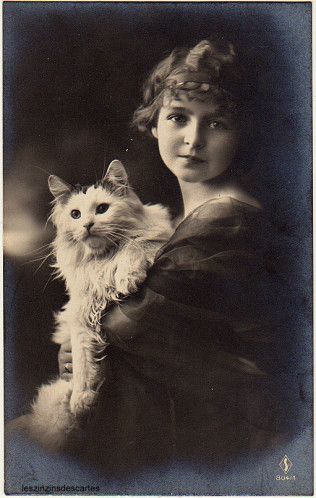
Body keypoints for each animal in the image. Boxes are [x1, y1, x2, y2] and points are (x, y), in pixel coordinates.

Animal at [7, 160, 174, 452]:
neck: (102, 260)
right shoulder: (81, 316)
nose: (86, 224)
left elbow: (134, 245)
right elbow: (83, 362)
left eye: (102, 209)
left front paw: (128, 276)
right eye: (75, 214)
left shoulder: (158, 237)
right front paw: (82, 399)